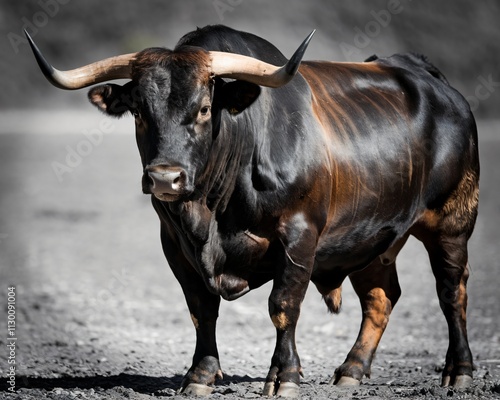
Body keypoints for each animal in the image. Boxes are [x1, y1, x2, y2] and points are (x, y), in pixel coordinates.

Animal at [25, 25, 478, 396]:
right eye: (138, 111)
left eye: (204, 108)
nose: (165, 179)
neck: (212, 209)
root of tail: (426, 77)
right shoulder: (174, 244)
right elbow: (201, 309)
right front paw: (200, 375)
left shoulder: (300, 235)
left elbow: (283, 305)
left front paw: (284, 376)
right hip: (372, 237)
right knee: (380, 298)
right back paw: (351, 370)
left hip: (453, 222)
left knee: (451, 292)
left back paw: (459, 371)